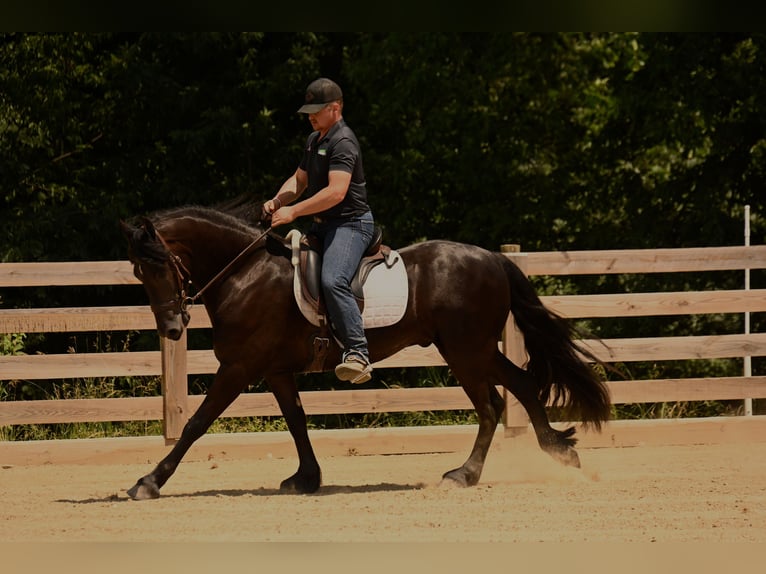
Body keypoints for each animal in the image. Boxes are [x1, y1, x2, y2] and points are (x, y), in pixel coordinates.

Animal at [120, 204, 611, 500]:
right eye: (139, 271)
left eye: (157, 266)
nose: (171, 328)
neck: (246, 272)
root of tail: (491, 257)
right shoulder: (276, 371)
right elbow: (297, 421)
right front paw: (307, 479)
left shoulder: (239, 368)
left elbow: (197, 424)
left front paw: (148, 481)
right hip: (476, 350)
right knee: (523, 385)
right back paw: (559, 451)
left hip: (466, 352)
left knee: (490, 406)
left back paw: (464, 474)